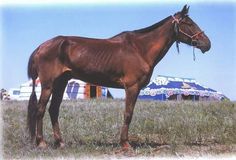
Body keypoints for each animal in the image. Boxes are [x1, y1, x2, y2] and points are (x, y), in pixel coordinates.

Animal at [27, 5, 210, 150]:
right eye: (189, 23)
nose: (207, 44)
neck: (139, 49)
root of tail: (41, 47)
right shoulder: (132, 87)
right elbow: (128, 114)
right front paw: (125, 144)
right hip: (48, 85)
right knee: (40, 110)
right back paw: (42, 143)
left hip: (61, 83)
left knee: (53, 110)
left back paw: (60, 142)